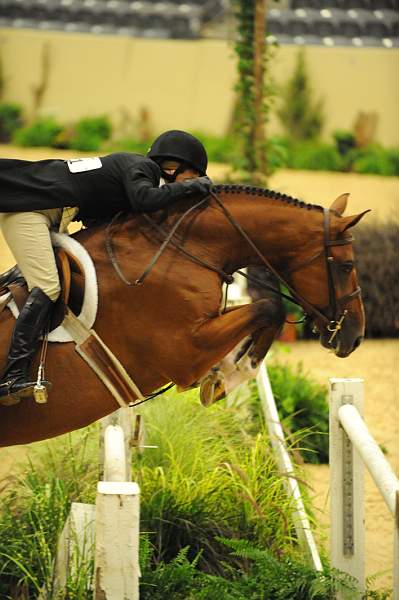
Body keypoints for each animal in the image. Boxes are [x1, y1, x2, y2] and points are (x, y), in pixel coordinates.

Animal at [0, 185, 368, 448]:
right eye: (347, 266)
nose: (355, 336)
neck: (182, 245)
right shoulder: (186, 352)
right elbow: (269, 308)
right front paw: (227, 376)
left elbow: (263, 315)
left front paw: (221, 374)